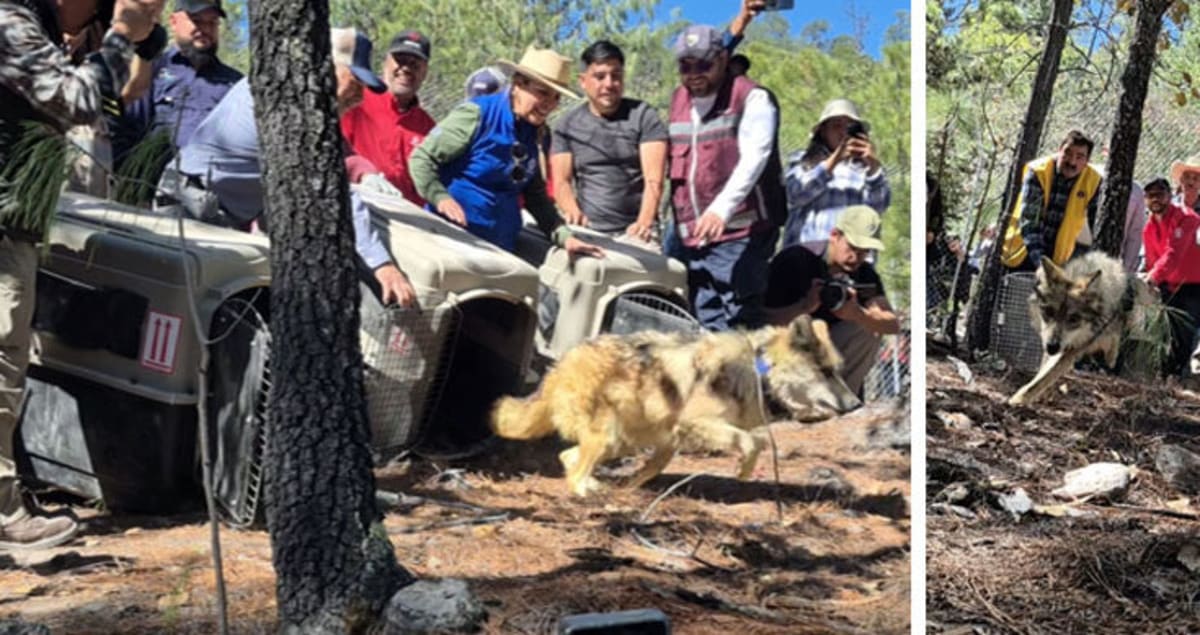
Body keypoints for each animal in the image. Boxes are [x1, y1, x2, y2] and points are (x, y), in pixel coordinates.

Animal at [1009, 252, 1160, 405]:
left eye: (1073, 319)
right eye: (1049, 312)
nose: (1052, 347)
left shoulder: (1073, 347)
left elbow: (1044, 377)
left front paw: (1017, 400)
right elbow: (1042, 373)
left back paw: (1111, 358)